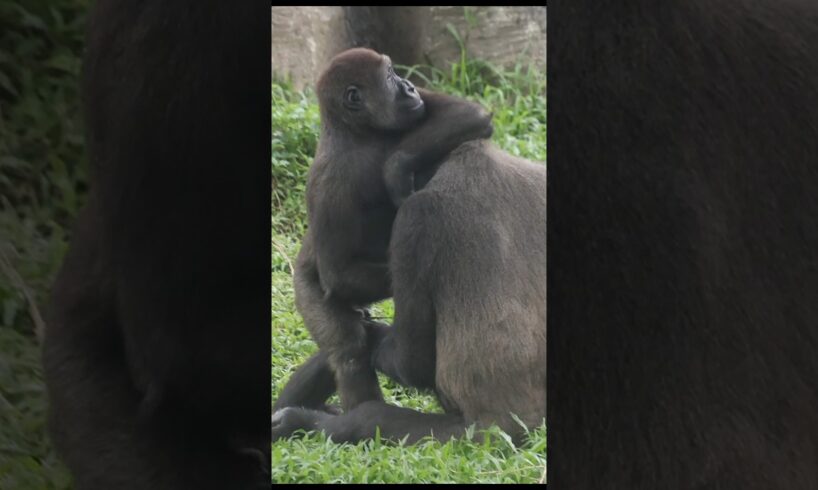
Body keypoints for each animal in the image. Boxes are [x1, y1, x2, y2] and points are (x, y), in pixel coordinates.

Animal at [284, 47, 494, 414]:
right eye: (389, 77)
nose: (409, 86)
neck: (358, 133)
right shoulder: (327, 189)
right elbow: (339, 274)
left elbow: (468, 112)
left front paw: (398, 164)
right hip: (305, 290)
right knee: (348, 348)